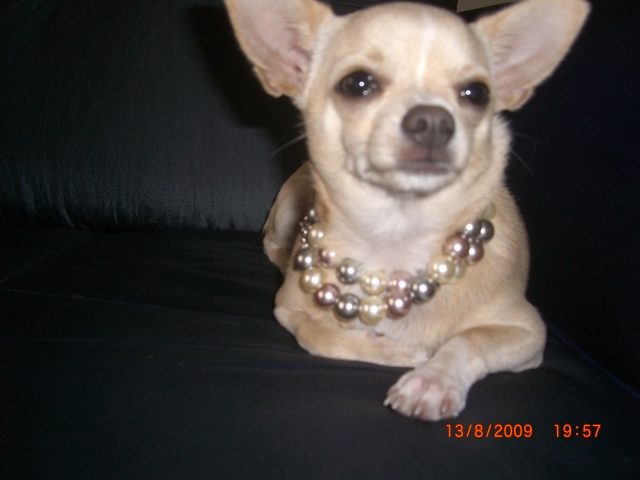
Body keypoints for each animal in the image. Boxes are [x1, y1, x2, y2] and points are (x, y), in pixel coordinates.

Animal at [223, 0, 589, 421]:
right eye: (357, 83)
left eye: (477, 93)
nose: (433, 120)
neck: (397, 234)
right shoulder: (285, 310)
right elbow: (313, 335)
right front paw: (393, 350)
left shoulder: (528, 331)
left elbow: (470, 338)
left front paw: (433, 380)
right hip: (289, 209)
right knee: (272, 244)